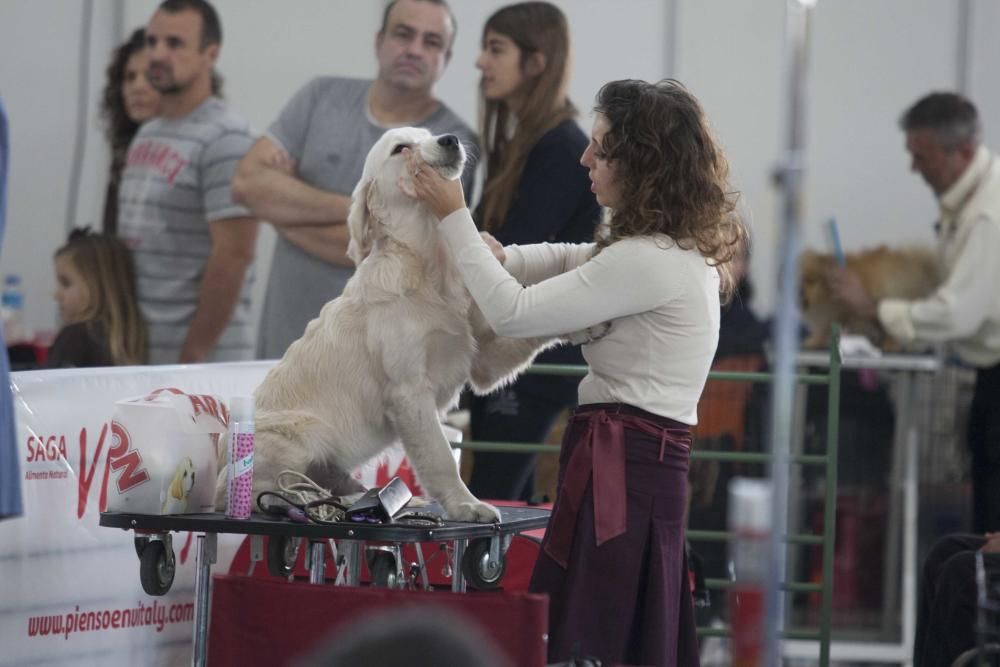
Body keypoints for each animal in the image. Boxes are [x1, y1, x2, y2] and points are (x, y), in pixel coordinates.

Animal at [215, 125, 556, 520]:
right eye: (401, 149)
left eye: (428, 133)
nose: (450, 140)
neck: (428, 267)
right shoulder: (409, 391)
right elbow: (440, 456)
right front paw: (467, 505)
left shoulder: (484, 361)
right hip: (296, 436)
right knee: (268, 489)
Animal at [800, 244, 940, 350]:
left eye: (810, 281)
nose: (802, 297)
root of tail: (915, 264)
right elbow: (820, 328)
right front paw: (814, 340)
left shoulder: (835, 312)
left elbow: (827, 326)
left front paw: (820, 340)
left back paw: (890, 344)